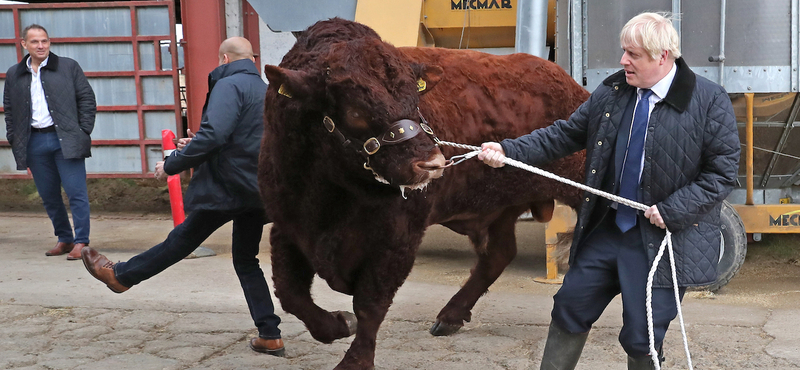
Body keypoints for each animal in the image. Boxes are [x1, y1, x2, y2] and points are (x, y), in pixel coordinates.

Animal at [260, 18, 588, 370]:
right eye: (355, 110)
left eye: (414, 101)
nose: (431, 163)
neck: (331, 194)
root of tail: (571, 85)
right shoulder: (287, 226)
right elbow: (290, 294)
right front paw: (338, 324)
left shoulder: (399, 238)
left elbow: (370, 303)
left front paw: (355, 360)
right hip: (499, 209)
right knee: (498, 254)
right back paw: (450, 316)